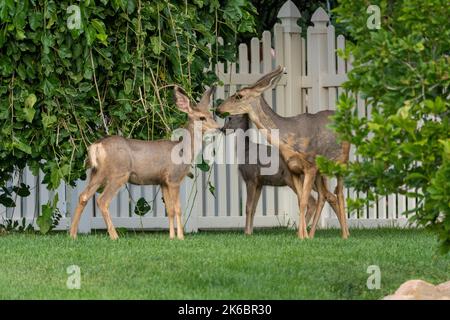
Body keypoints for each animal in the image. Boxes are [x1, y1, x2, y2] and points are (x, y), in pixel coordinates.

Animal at [69, 87, 221, 240]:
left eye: (211, 115)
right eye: (201, 117)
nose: (219, 128)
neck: (183, 151)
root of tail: (97, 145)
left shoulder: (163, 181)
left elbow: (170, 210)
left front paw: (171, 237)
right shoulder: (174, 178)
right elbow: (178, 208)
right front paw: (180, 237)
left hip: (97, 173)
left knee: (83, 196)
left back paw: (73, 234)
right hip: (119, 173)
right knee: (102, 200)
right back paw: (115, 236)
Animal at [218, 66, 352, 239]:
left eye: (238, 96)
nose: (218, 108)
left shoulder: (309, 167)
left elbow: (304, 201)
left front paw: (302, 236)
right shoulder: (293, 170)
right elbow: (300, 201)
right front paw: (302, 236)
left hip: (342, 163)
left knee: (339, 193)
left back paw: (345, 234)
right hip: (321, 172)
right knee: (325, 196)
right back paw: (314, 234)